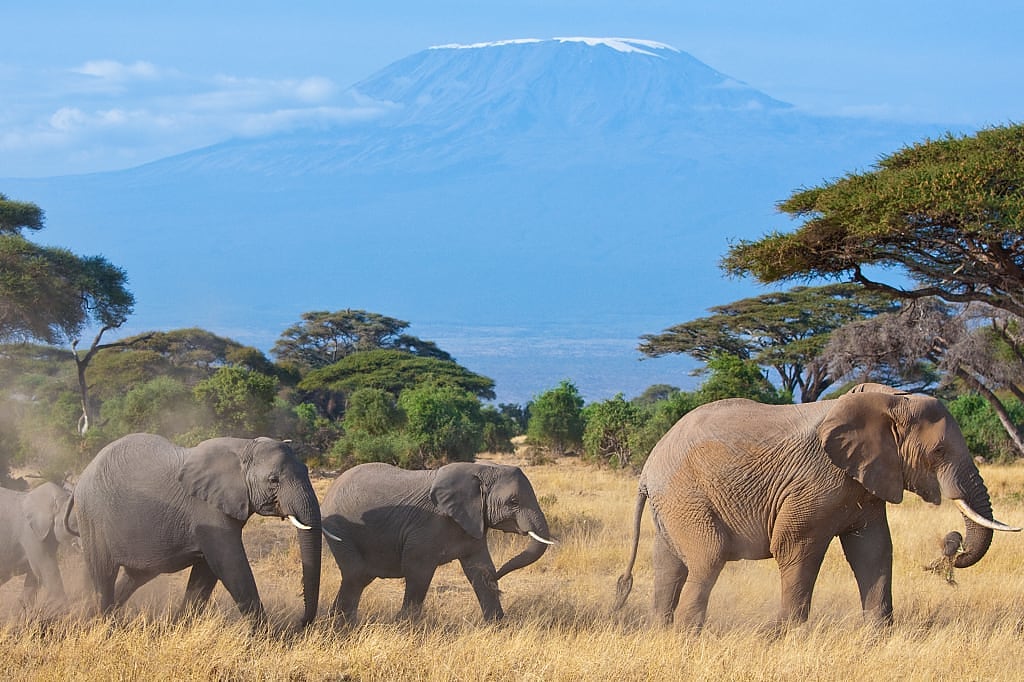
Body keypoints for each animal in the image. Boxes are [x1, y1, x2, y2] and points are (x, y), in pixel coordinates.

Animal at [66, 433, 321, 627]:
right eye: (273, 480)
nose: (300, 623)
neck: (243, 447)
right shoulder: (207, 509)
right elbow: (230, 565)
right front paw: (267, 639)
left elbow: (206, 573)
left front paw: (177, 629)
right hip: (92, 517)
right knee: (104, 575)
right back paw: (106, 625)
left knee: (135, 577)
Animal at [321, 461, 554, 623]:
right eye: (513, 502)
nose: (499, 576)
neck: (480, 469)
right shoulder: (428, 525)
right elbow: (418, 571)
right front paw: (404, 625)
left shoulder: (472, 521)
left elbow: (480, 569)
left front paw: (498, 625)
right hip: (338, 528)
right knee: (357, 575)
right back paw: (341, 624)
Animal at [614, 383, 1020, 629]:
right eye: (938, 451)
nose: (953, 543)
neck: (886, 399)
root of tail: (647, 469)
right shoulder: (814, 481)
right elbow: (796, 547)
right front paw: (787, 636)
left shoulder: (864, 482)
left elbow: (873, 550)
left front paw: (877, 636)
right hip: (688, 497)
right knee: (707, 560)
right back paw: (689, 636)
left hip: (673, 506)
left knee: (669, 566)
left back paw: (662, 632)